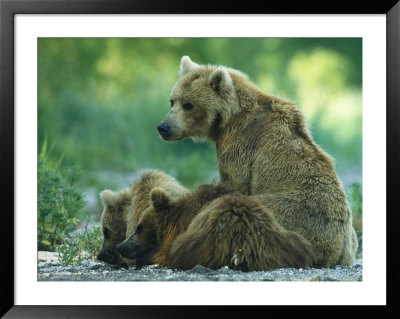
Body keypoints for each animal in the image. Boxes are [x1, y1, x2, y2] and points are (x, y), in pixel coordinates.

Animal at [155, 55, 356, 268]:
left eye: (188, 104)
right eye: (172, 101)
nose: (163, 127)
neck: (228, 117)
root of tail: (339, 252)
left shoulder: (242, 141)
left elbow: (234, 183)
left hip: (295, 213)